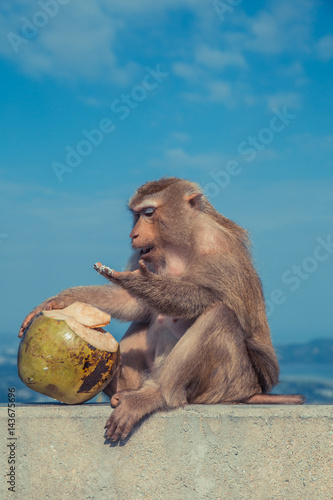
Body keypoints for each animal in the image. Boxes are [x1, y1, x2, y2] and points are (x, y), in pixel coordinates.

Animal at [18, 177, 304, 442]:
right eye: (136, 215)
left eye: (148, 213)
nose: (133, 235)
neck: (179, 243)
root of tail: (251, 390)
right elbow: (134, 304)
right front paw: (62, 300)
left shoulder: (216, 244)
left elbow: (215, 300)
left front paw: (138, 281)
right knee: (145, 323)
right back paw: (124, 392)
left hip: (227, 384)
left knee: (219, 315)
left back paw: (154, 396)